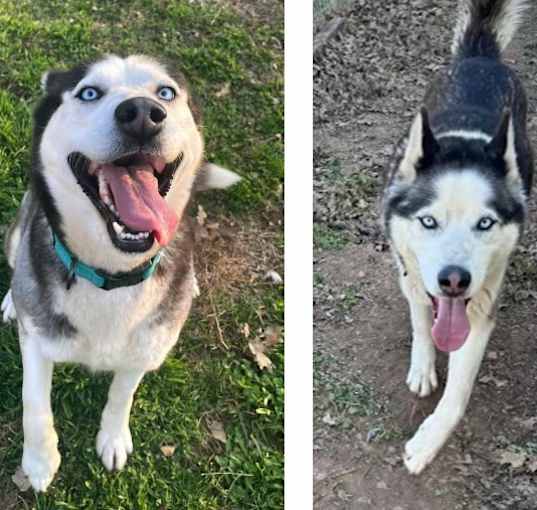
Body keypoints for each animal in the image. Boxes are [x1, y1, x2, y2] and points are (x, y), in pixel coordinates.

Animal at [0, 54, 239, 490]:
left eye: (166, 92)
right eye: (89, 93)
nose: (142, 114)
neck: (111, 275)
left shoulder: (145, 348)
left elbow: (122, 393)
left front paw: (112, 438)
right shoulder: (37, 343)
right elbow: (34, 405)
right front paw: (40, 463)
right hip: (18, 229)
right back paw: (11, 300)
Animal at [382, 0, 532, 474]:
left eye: (485, 224)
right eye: (429, 222)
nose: (453, 280)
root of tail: (479, 57)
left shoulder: (479, 308)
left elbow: (458, 395)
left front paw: (427, 442)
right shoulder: (409, 274)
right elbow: (420, 322)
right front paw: (423, 365)